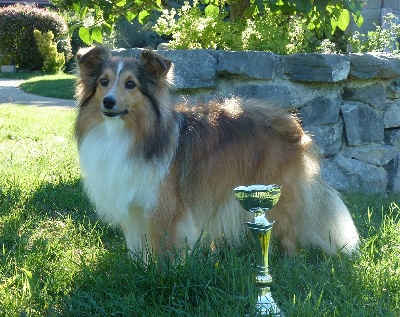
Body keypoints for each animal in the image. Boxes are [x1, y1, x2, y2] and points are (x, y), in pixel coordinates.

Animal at [74, 46, 360, 260]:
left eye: (131, 84)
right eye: (103, 82)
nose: (108, 102)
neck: (126, 134)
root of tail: (293, 123)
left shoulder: (164, 208)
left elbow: (162, 250)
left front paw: (159, 275)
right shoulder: (134, 208)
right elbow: (139, 248)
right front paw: (141, 272)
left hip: (280, 194)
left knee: (290, 230)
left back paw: (289, 261)